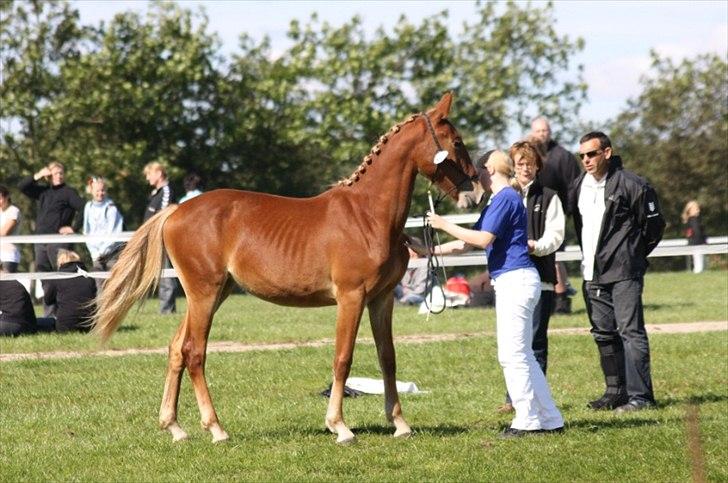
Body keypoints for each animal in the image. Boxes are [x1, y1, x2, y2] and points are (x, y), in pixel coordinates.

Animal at [94, 92, 484, 444]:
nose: (476, 194)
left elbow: (387, 357)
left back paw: (175, 427)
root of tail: (176, 210)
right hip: (204, 294)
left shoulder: (381, 299)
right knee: (194, 352)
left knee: (177, 348)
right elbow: (343, 358)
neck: (369, 215)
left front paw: (399, 424)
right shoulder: (351, 297)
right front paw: (339, 427)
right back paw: (216, 429)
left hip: (212, 294)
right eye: (457, 142)